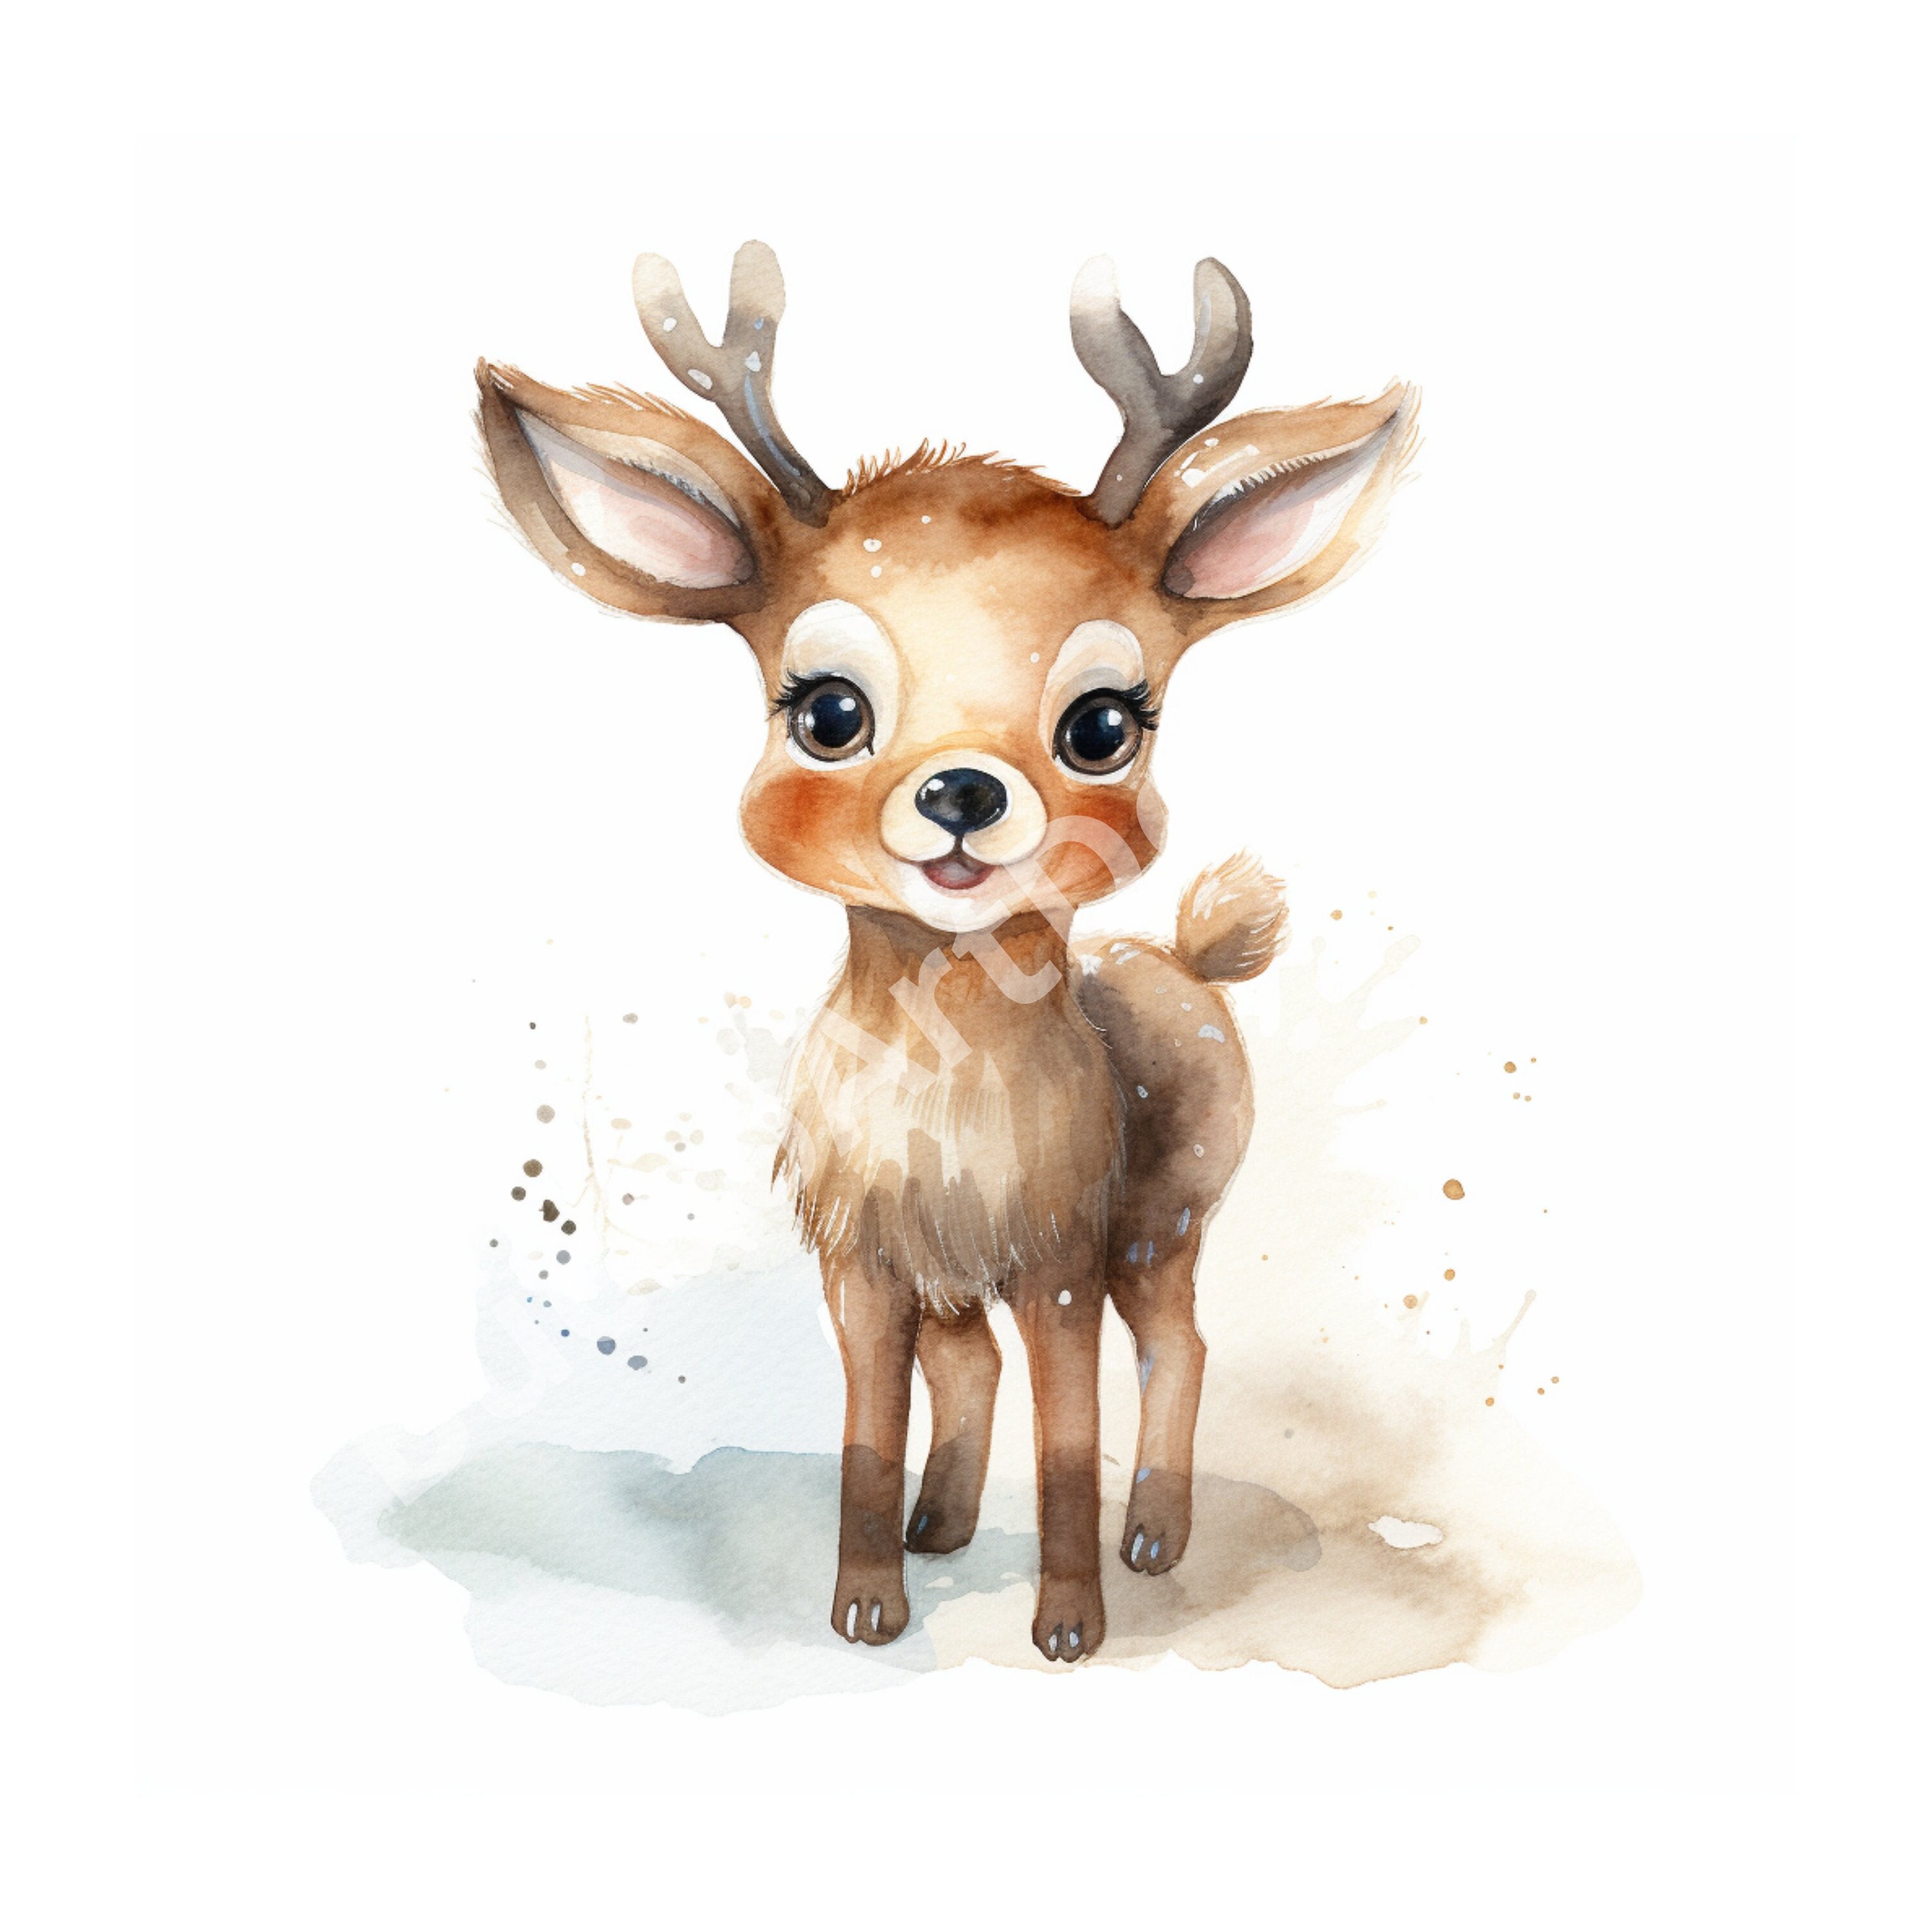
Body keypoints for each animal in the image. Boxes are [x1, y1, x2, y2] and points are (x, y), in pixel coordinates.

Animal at [476, 242, 1415, 1662]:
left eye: (1104, 723)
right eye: (826, 710)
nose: (965, 790)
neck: (943, 1093)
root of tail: (1193, 959)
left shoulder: (1063, 1259)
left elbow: (1071, 1439)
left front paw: (1070, 1626)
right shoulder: (861, 1265)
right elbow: (869, 1432)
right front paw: (867, 1605)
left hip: (1165, 1221)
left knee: (1182, 1347)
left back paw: (1156, 1537)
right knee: (974, 1361)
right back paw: (943, 1524)